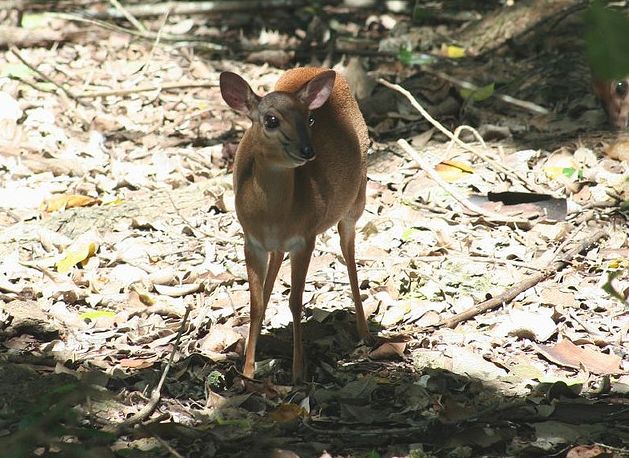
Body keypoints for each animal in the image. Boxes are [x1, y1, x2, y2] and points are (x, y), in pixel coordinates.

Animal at [220, 67, 370, 382]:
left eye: (310, 118)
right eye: (271, 120)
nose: (307, 151)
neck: (274, 217)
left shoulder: (305, 238)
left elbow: (295, 302)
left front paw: (298, 371)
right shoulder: (251, 241)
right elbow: (256, 303)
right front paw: (248, 370)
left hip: (356, 200)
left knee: (349, 251)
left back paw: (364, 332)